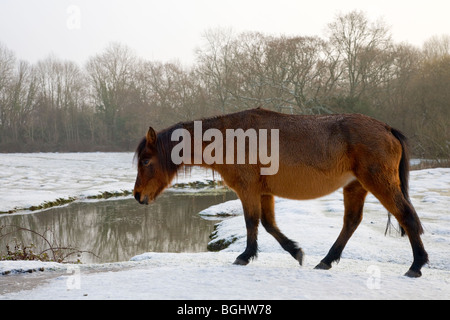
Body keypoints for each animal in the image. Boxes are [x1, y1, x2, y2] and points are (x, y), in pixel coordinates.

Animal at [134, 108, 428, 278]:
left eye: (146, 161)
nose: (137, 196)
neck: (230, 137)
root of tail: (387, 129)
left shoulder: (248, 190)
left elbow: (251, 222)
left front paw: (244, 256)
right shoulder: (264, 192)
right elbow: (268, 224)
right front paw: (296, 251)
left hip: (379, 183)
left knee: (406, 216)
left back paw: (416, 265)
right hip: (355, 186)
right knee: (351, 222)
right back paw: (326, 261)